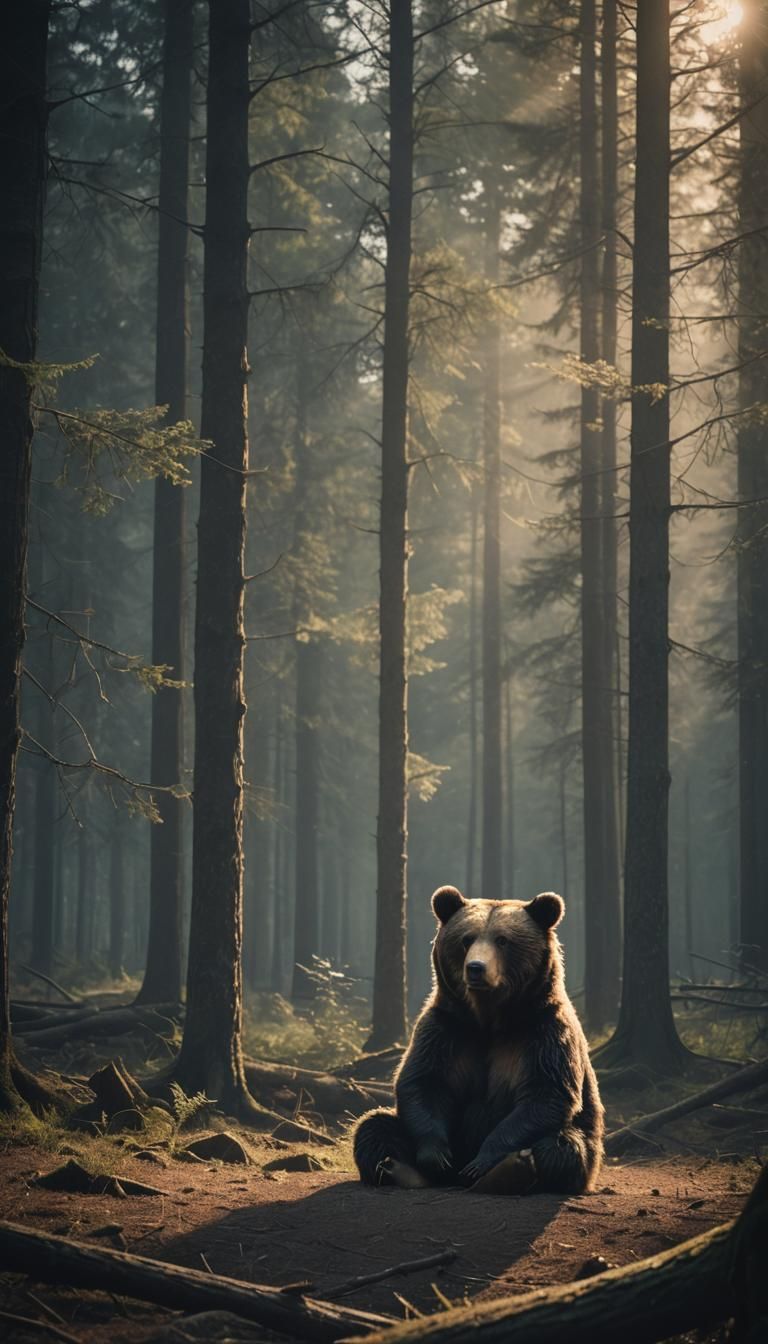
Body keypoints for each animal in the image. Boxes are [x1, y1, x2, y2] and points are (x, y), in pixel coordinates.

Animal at [354, 885, 603, 1195]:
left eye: (503, 940)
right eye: (466, 939)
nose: (476, 967)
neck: (489, 1020)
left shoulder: (544, 1032)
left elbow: (546, 1093)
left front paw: (484, 1161)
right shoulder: (446, 1029)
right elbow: (422, 1082)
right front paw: (436, 1157)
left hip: (587, 1147)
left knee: (560, 1147)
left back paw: (511, 1170)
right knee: (373, 1127)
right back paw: (398, 1168)